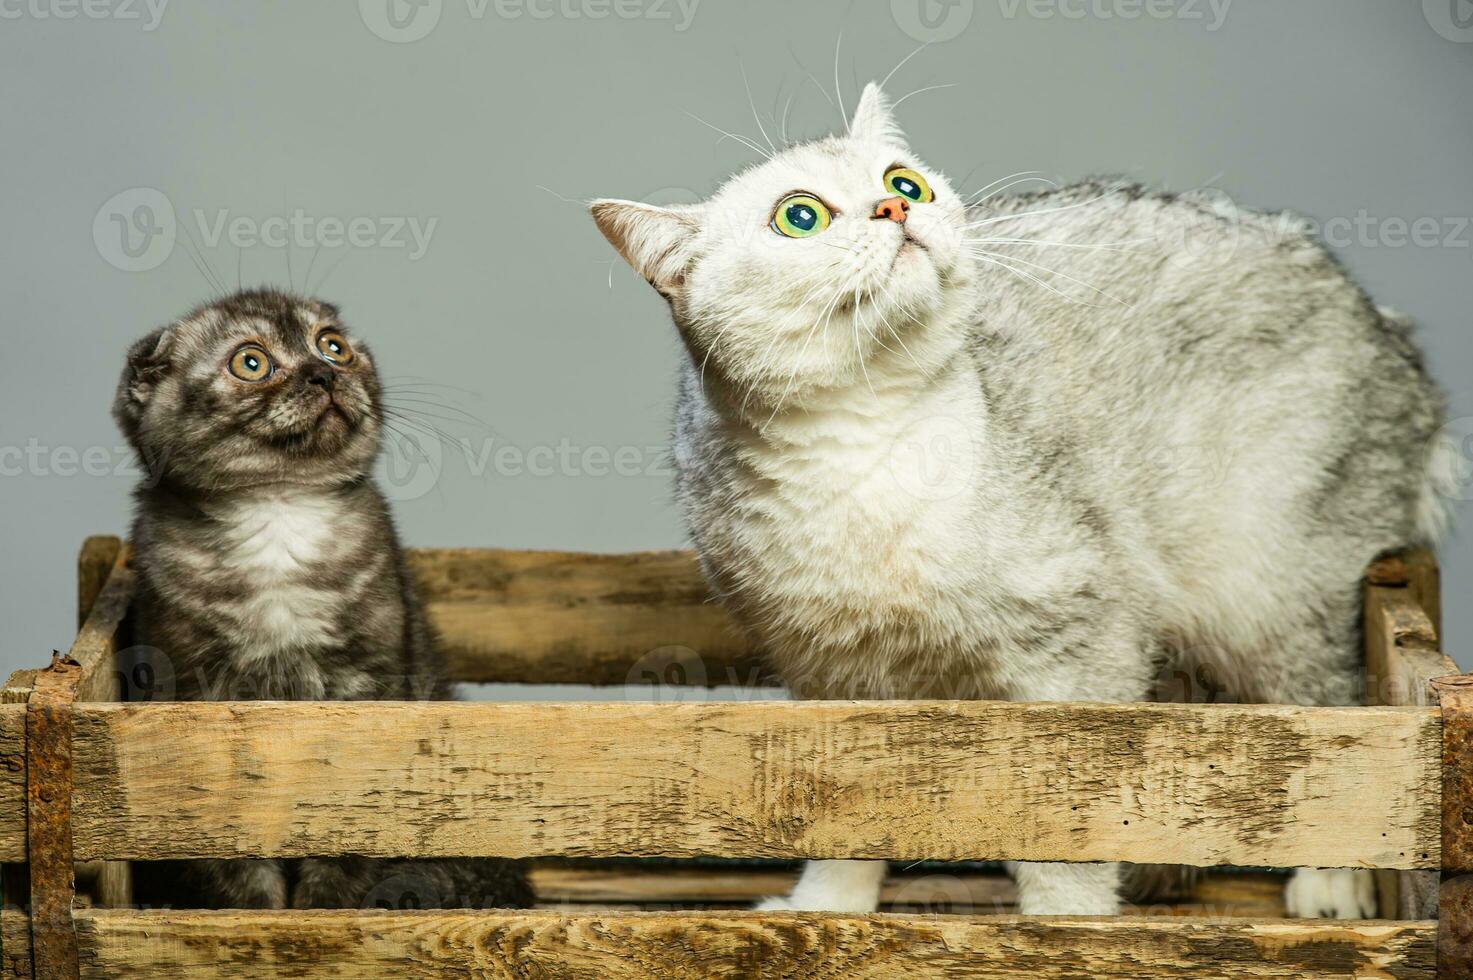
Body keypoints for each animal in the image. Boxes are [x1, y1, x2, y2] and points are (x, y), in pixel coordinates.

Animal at [116, 288, 530, 907]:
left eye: (332, 345)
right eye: (251, 362)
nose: (324, 373)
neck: (279, 514)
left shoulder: (370, 688)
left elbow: (347, 828)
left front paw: (324, 910)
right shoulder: (194, 699)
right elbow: (228, 849)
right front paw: (256, 915)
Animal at [589, 85, 1461, 919]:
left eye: (902, 182)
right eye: (798, 217)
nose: (895, 210)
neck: (864, 449)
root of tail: (1391, 335)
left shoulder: (1081, 644)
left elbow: (1063, 829)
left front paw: (1064, 925)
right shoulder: (830, 674)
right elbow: (847, 816)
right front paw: (829, 908)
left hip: (1269, 594)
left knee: (1332, 723)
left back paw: (1328, 880)